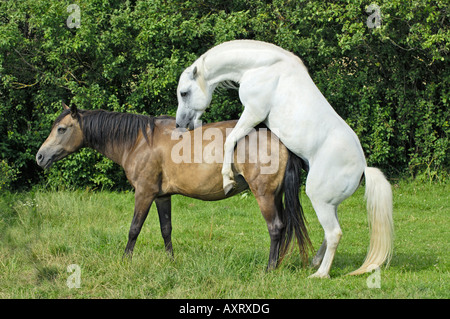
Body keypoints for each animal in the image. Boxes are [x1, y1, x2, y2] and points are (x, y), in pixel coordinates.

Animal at [35, 104, 312, 270]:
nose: (40, 157)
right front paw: (171, 262)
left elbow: (134, 229)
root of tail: (279, 139)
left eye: (61, 129)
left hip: (264, 194)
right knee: (283, 229)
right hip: (275, 195)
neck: (139, 141)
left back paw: (269, 269)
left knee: (275, 228)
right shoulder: (162, 196)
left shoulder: (144, 193)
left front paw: (125, 261)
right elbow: (166, 229)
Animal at [174, 40, 392, 278]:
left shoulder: (254, 112)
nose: (180, 124)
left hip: (318, 198)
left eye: (184, 93)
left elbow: (229, 140)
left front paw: (227, 179)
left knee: (334, 233)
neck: (260, 66)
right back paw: (315, 261)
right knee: (330, 233)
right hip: (329, 203)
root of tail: (363, 168)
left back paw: (320, 274)